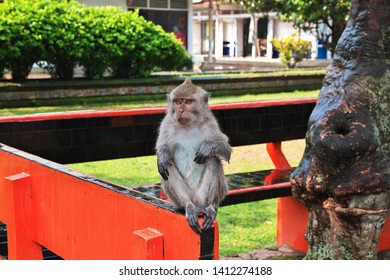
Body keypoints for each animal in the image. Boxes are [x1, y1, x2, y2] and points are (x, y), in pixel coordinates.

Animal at [155, 77, 232, 234]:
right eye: (178, 102)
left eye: (188, 102)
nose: (180, 110)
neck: (188, 125)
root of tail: (198, 203)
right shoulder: (166, 124)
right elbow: (162, 149)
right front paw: (163, 155)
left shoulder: (211, 124)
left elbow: (226, 151)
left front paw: (208, 148)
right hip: (180, 199)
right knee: (167, 167)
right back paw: (188, 207)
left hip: (203, 196)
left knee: (213, 160)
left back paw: (211, 207)